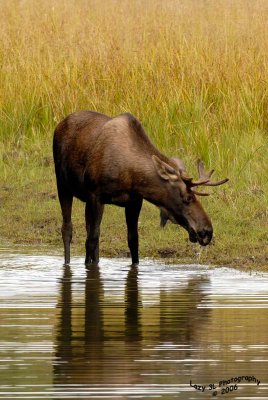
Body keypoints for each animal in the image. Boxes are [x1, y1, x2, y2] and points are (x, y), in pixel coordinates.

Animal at [52, 110, 228, 266]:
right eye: (187, 198)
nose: (207, 231)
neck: (131, 176)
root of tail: (60, 124)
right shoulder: (95, 196)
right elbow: (91, 240)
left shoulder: (134, 201)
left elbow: (133, 241)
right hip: (63, 185)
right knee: (67, 229)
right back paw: (67, 262)